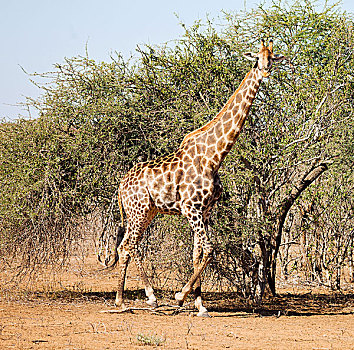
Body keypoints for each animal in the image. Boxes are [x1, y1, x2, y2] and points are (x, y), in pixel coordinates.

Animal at [113, 39, 284, 316]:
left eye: (272, 57)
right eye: (257, 58)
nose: (266, 71)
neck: (214, 156)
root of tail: (120, 185)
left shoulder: (205, 211)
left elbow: (197, 253)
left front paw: (200, 304)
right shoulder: (190, 209)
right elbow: (210, 249)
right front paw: (180, 295)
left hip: (147, 211)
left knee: (129, 246)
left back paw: (135, 298)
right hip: (138, 211)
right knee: (127, 246)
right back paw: (135, 299)